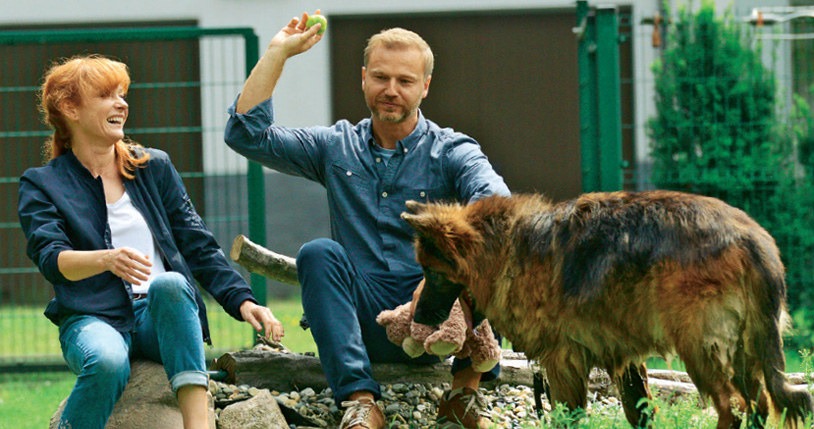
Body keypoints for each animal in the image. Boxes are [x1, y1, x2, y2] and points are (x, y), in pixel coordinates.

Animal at [408, 191, 814, 428]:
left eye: (431, 272)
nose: (417, 319)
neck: (504, 247)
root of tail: (751, 238)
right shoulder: (626, 357)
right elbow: (639, 413)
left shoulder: (563, 362)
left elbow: (569, 418)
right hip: (746, 351)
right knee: (757, 405)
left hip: (701, 351)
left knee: (734, 408)